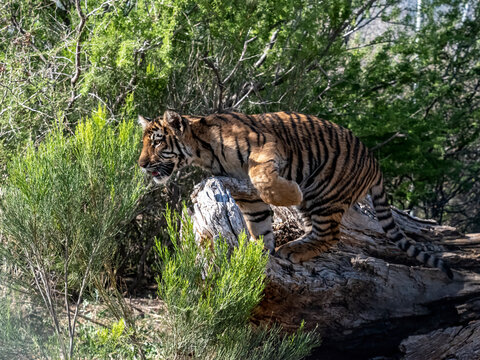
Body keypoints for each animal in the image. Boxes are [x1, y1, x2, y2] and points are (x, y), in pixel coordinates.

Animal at [137, 109, 452, 278]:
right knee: (322, 233)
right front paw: (258, 253)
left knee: (331, 235)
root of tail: (376, 165)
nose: (141, 164)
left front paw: (290, 194)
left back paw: (295, 248)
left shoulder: (266, 147)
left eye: (157, 141)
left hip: (325, 192)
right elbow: (259, 224)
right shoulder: (247, 195)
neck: (203, 151)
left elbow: (263, 178)